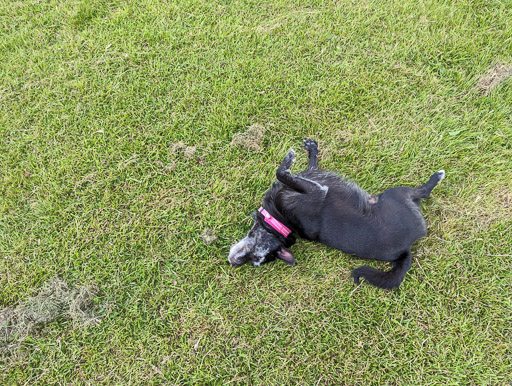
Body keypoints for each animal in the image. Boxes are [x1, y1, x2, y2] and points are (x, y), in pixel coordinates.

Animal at [228, 139, 444, 290]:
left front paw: (310, 149)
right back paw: (437, 176)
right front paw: (291, 158)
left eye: (255, 256)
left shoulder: (313, 182)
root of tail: (406, 249)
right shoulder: (317, 189)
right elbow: (282, 172)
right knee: (424, 192)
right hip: (396, 195)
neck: (283, 222)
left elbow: (297, 169)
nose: (234, 263)